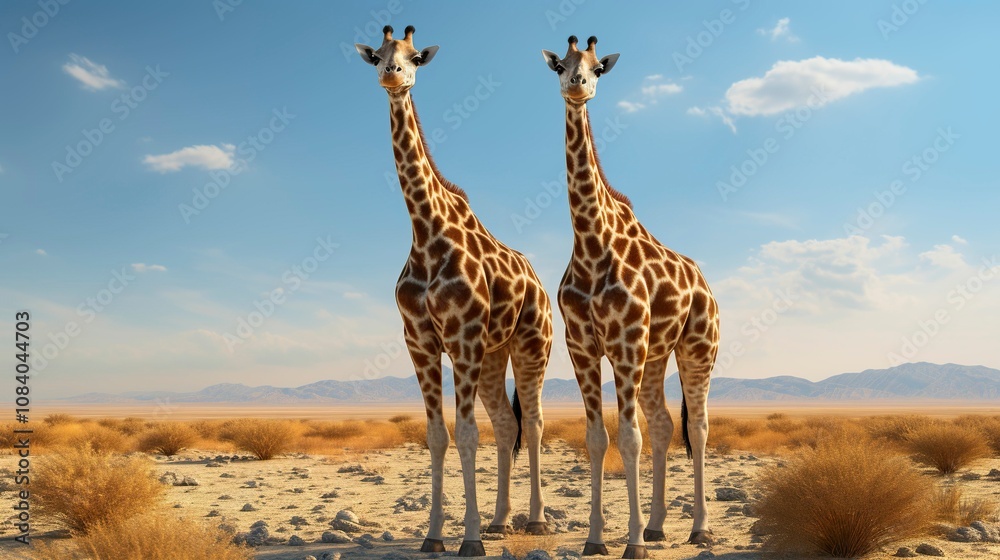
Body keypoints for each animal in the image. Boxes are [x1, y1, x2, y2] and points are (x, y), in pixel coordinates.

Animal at [355, 25, 553, 556]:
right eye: (377, 56)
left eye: (413, 56)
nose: (392, 75)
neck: (425, 231)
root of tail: (541, 285)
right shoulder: (420, 339)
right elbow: (437, 436)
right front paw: (434, 535)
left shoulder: (461, 335)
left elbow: (465, 434)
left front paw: (469, 539)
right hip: (493, 354)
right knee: (507, 423)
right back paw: (502, 521)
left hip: (531, 345)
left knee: (535, 421)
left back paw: (535, 520)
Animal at [541, 36, 720, 558]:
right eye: (559, 65)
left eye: (598, 66)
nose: (578, 85)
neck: (590, 242)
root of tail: (705, 284)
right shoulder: (582, 346)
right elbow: (598, 438)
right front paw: (596, 538)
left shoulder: (624, 343)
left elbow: (628, 437)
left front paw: (633, 542)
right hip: (656, 355)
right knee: (663, 423)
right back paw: (660, 526)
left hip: (697, 347)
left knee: (698, 427)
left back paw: (699, 528)